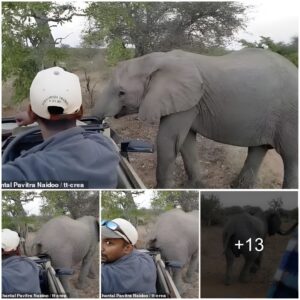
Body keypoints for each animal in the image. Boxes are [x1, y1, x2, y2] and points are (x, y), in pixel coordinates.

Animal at [94, 48, 298, 189]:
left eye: (121, 92)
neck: (159, 60)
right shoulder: (188, 102)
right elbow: (185, 142)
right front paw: (196, 186)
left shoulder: (188, 99)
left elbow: (167, 141)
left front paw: (162, 189)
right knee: (257, 150)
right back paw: (238, 187)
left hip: (290, 115)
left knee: (291, 157)